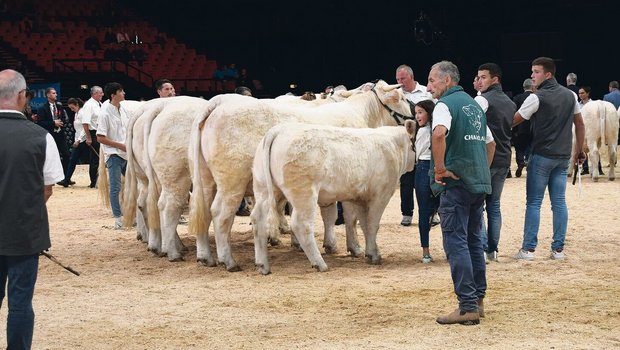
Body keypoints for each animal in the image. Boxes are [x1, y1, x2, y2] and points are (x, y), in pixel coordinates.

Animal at [186, 80, 414, 270]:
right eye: (401, 98)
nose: (415, 116)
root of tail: (217, 103)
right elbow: (350, 217)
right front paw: (355, 247)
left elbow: (330, 214)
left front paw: (330, 245)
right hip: (232, 182)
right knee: (220, 214)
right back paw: (229, 260)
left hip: (206, 180)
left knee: (203, 213)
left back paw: (206, 257)